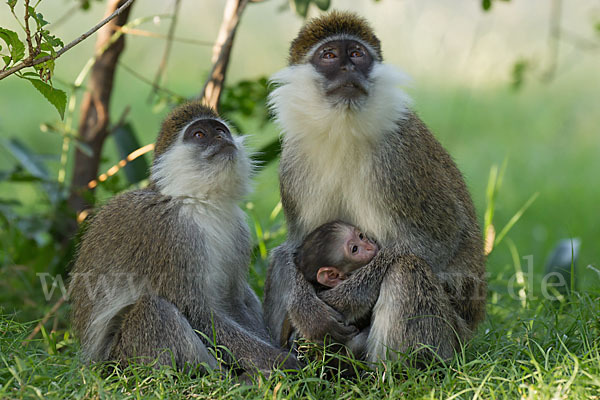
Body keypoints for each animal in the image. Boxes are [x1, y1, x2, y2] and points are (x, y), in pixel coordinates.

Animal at [70, 101, 296, 376]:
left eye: (220, 130)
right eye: (199, 134)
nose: (222, 138)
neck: (199, 203)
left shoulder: (239, 230)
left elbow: (233, 301)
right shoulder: (170, 234)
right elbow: (198, 315)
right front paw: (286, 363)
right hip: (121, 364)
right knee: (155, 310)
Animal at [264, 11, 486, 362]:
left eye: (357, 54)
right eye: (329, 55)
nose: (348, 68)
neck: (342, 128)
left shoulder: (400, 159)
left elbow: (439, 243)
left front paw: (347, 299)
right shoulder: (293, 163)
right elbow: (296, 248)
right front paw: (305, 309)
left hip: (454, 341)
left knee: (407, 269)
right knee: (278, 259)